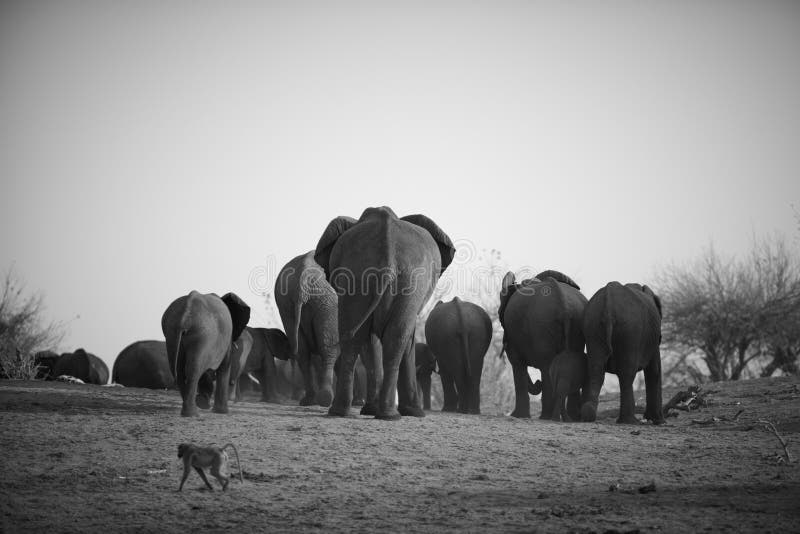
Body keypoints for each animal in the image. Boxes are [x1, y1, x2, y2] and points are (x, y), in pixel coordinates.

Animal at [274, 251, 340, 406]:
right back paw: (325, 399)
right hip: (327, 303)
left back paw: (309, 400)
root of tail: (301, 282)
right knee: (327, 348)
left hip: (287, 305)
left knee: (302, 351)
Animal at [314, 207, 454, 420]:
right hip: (395, 281)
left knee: (360, 338)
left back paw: (352, 412)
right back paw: (385, 414)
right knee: (387, 339)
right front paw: (414, 413)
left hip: (364, 277)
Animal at [500, 270, 588, 420]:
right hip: (575, 321)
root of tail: (563, 304)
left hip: (542, 325)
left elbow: (516, 363)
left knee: (546, 366)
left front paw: (517, 416)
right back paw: (570, 418)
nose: (537, 383)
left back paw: (546, 417)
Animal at [580, 282, 664, 426]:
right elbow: (654, 370)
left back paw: (588, 414)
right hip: (630, 331)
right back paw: (630, 421)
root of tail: (608, 303)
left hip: (592, 326)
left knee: (596, 370)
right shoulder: (653, 337)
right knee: (627, 374)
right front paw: (658, 420)